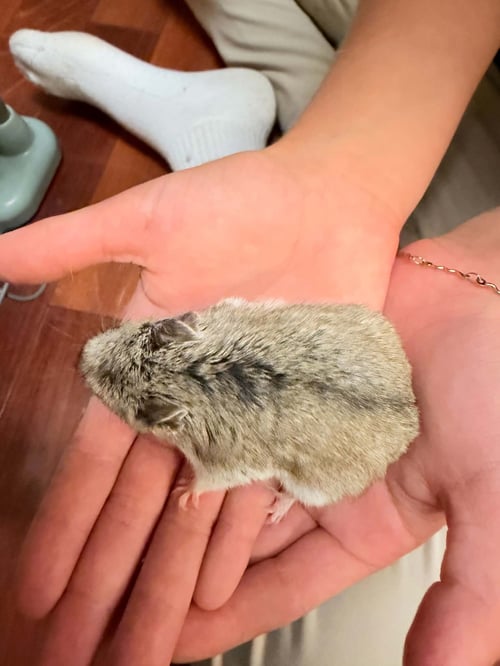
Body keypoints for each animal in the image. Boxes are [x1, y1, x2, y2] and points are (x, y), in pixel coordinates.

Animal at [80, 298, 419, 522]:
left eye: (135, 413)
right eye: (141, 328)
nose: (82, 359)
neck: (186, 372)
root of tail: (412, 416)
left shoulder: (222, 463)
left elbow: (207, 481)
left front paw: (184, 495)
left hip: (316, 486)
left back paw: (275, 509)